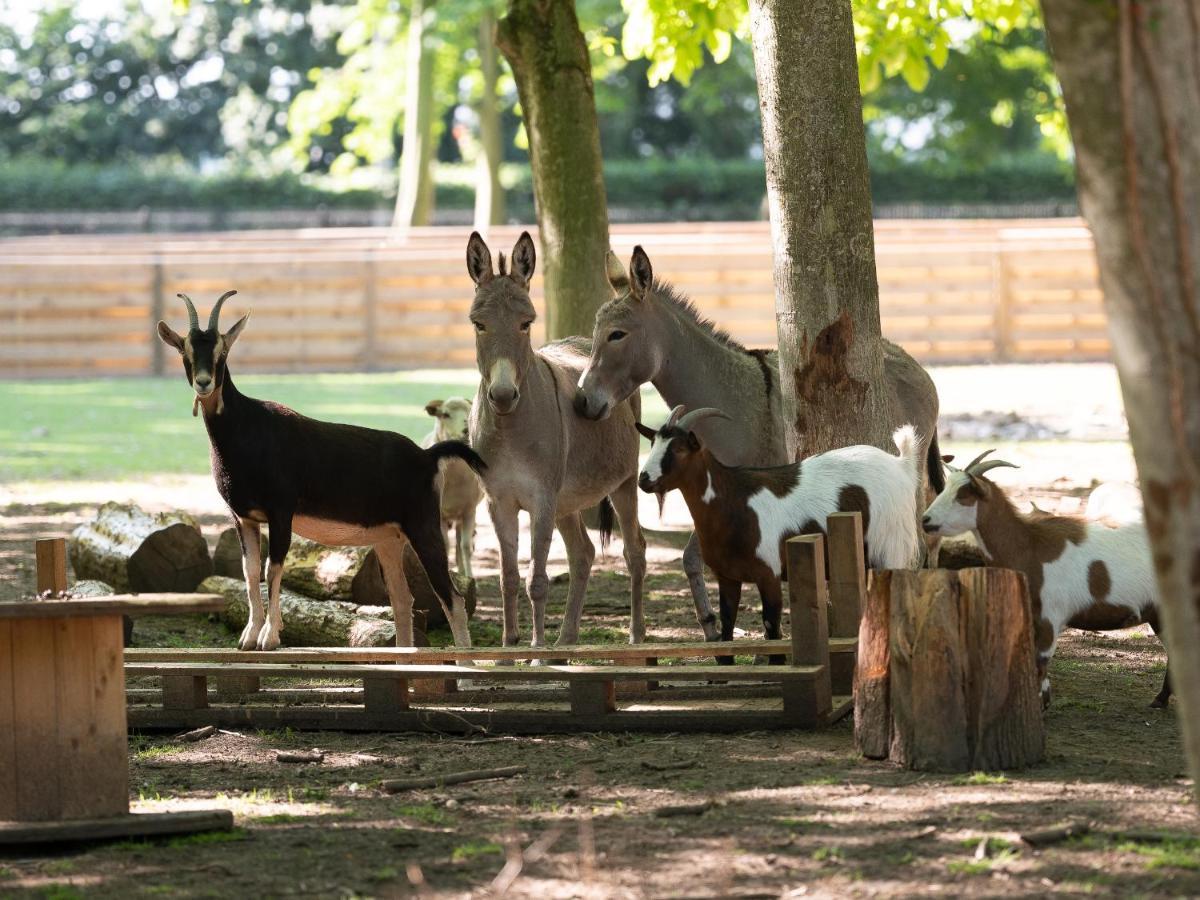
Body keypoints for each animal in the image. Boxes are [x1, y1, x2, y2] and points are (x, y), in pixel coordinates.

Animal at [643, 408, 921, 662]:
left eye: (679, 449)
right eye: (653, 444)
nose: (643, 479)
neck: (735, 502)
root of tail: (900, 465)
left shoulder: (769, 574)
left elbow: (772, 629)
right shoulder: (727, 576)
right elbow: (728, 625)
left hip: (890, 545)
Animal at [916, 453, 1171, 710]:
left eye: (963, 495)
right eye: (945, 488)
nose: (925, 520)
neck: (1029, 545)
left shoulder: (1050, 615)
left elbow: (1041, 660)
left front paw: (1041, 705)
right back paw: (1160, 699)